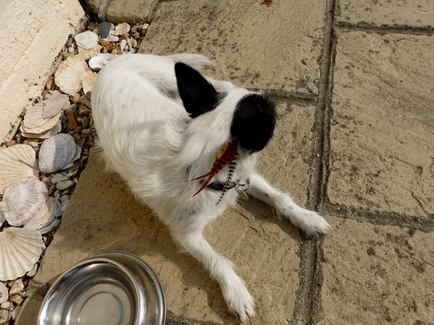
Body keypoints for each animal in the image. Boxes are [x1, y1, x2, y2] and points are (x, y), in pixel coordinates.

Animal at [90, 53, 328, 322]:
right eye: (268, 112)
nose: (269, 97)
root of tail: (114, 61)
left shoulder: (241, 179)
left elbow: (277, 197)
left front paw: (306, 217)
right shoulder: (188, 234)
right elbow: (217, 260)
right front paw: (236, 292)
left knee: (221, 83)